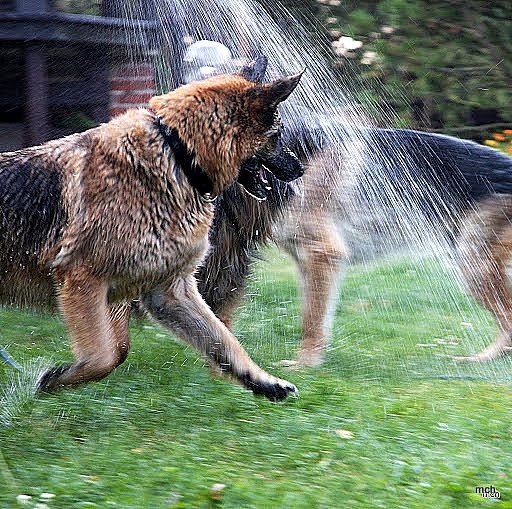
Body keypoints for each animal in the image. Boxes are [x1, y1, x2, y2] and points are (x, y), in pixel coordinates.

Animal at [0, 57, 304, 401]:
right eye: (277, 134)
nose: (300, 169)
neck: (178, 154)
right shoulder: (82, 281)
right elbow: (105, 356)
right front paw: (55, 380)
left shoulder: (171, 291)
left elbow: (224, 342)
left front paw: (264, 381)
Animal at [273, 118, 512, 366]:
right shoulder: (306, 263)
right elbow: (311, 317)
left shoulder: (321, 253)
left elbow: (311, 320)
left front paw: (304, 364)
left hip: (474, 267)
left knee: (508, 323)